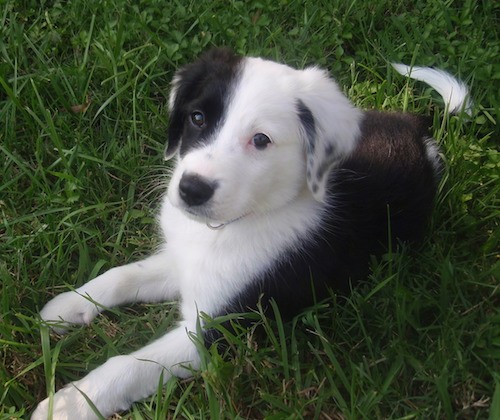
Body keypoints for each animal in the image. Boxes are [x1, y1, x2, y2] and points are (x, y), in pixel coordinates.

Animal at [33, 48, 470, 416]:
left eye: (261, 140)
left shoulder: (217, 330)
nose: (191, 190)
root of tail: (419, 130)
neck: (234, 223)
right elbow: (123, 276)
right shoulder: (185, 260)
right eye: (197, 118)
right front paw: (67, 307)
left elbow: (130, 364)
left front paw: (69, 404)